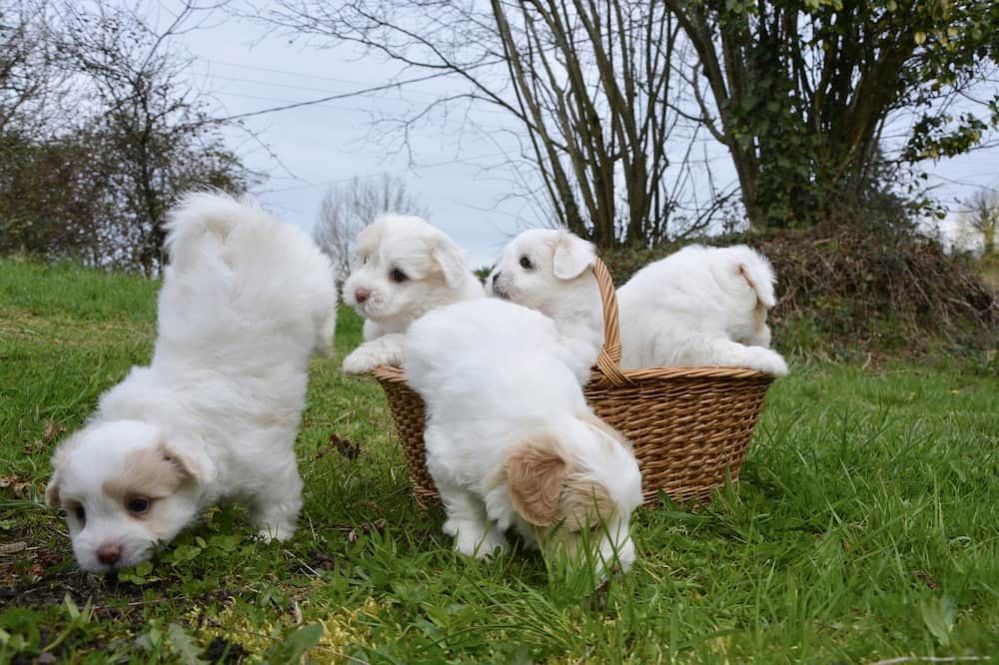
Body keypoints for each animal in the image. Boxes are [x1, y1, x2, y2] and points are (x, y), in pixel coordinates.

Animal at [45, 192, 340, 572]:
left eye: (138, 505)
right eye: (79, 513)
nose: (106, 555)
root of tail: (242, 223)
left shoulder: (269, 467)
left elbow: (277, 502)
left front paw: (271, 537)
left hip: (312, 284)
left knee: (326, 313)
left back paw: (327, 343)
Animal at [404, 298, 644, 572]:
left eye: (628, 517)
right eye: (587, 529)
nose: (620, 569)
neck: (544, 421)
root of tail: (473, 302)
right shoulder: (447, 461)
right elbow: (467, 507)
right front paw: (479, 546)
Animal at [616, 245, 788, 378]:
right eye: (761, 312)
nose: (767, 340)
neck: (715, 287)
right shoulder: (688, 344)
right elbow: (730, 349)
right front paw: (773, 360)